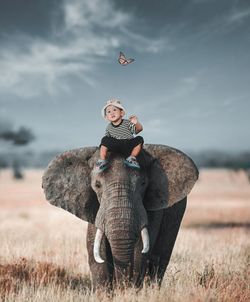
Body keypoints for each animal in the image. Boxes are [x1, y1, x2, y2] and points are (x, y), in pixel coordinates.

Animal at [43, 144, 199, 290]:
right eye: (97, 185)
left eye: (143, 184)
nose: (121, 285)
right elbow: (96, 247)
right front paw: (105, 293)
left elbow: (140, 250)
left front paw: (128, 291)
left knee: (159, 260)